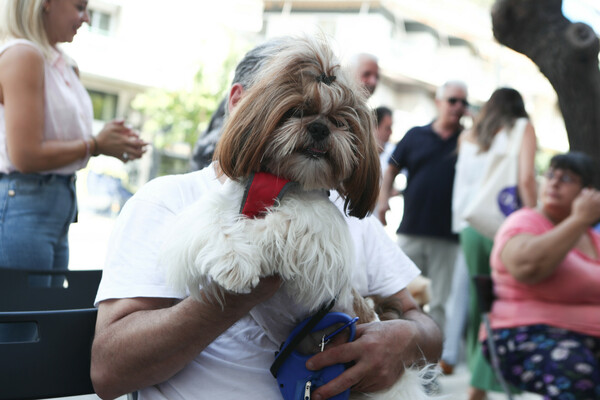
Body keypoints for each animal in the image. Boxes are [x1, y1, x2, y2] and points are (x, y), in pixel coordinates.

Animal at [161, 36, 436, 398]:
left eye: (340, 122)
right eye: (296, 112)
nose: (319, 128)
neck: (281, 182)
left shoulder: (319, 234)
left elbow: (282, 223)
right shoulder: (212, 211)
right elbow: (215, 226)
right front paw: (234, 262)